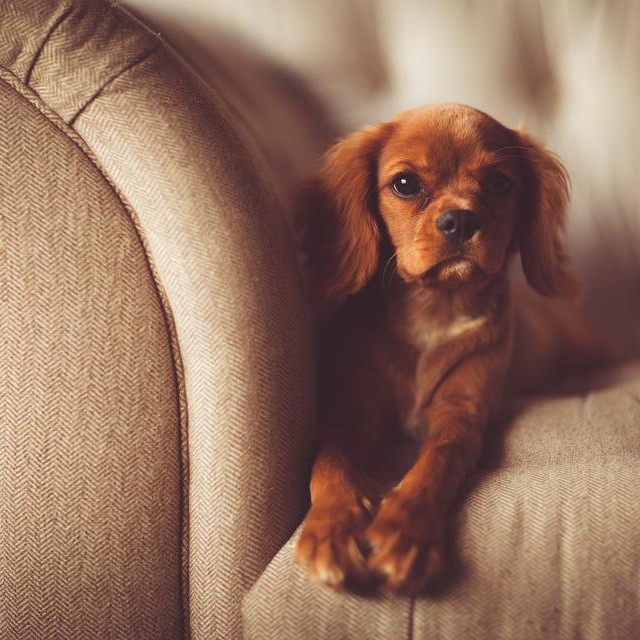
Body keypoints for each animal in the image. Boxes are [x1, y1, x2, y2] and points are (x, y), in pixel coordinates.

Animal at [294, 102, 608, 592]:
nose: (460, 219)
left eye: (500, 183)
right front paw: (332, 527)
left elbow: (438, 460)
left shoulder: (462, 413)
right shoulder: (350, 412)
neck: (436, 308)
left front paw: (404, 531)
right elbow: (329, 461)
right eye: (405, 184)